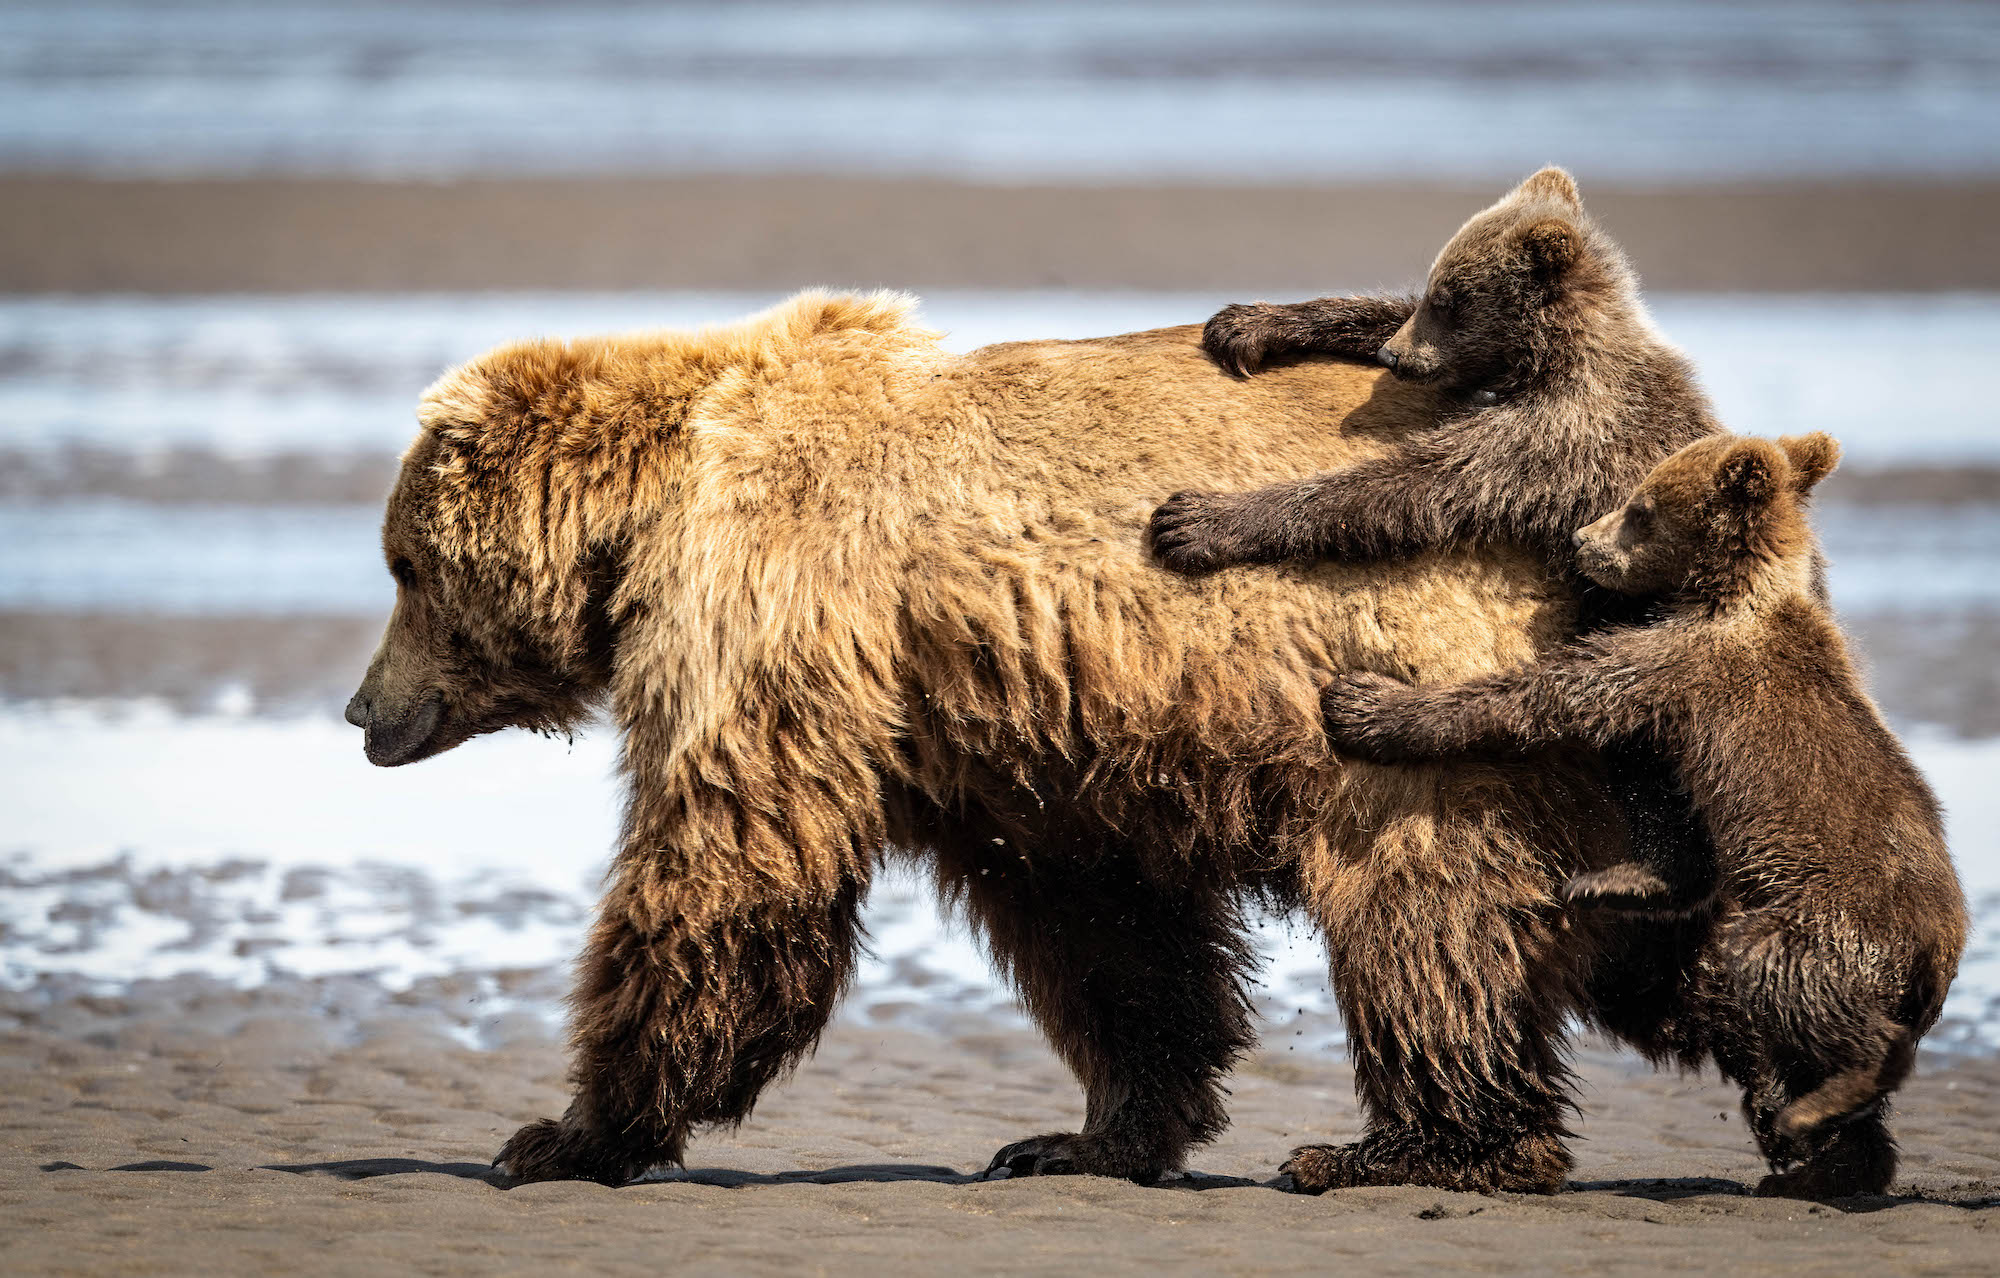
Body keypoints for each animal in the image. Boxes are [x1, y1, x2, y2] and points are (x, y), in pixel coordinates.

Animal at [348, 290, 1624, 1192]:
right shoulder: (1015, 740)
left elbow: (726, 864)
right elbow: (1106, 926)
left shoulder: (771, 608)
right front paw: (1088, 1134)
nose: (362, 711)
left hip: (1412, 678)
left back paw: (1418, 1145)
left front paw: (565, 1133)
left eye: (402, 564)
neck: (653, 508)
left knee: (1418, 910)